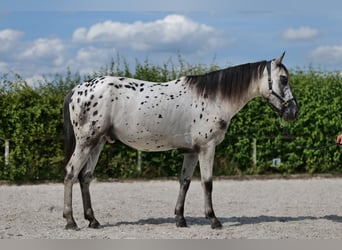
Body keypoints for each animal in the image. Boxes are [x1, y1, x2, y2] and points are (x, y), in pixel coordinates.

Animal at [62, 52, 298, 229]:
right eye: (284, 79)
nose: (294, 112)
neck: (213, 97)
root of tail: (76, 89)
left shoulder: (192, 151)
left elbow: (184, 182)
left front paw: (180, 219)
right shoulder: (207, 148)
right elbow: (207, 183)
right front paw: (213, 220)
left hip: (98, 143)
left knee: (85, 177)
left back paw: (93, 220)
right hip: (86, 142)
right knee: (71, 174)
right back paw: (71, 221)